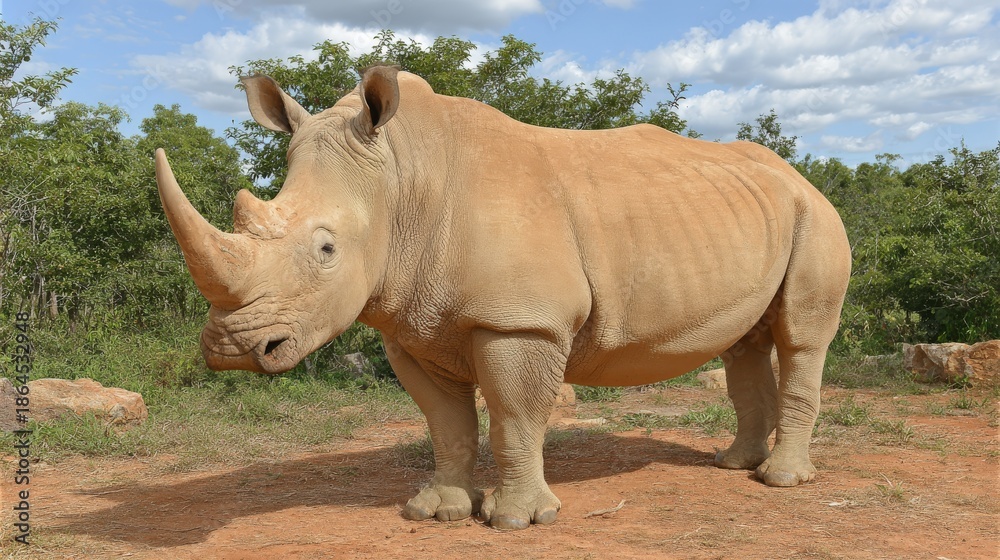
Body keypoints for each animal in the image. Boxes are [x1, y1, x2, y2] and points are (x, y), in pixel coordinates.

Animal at [155, 66, 851, 530]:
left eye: (326, 249)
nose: (230, 348)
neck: (402, 180)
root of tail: (801, 177)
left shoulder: (522, 321)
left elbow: (515, 416)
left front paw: (517, 521)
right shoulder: (412, 322)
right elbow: (446, 421)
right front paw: (436, 511)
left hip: (817, 218)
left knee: (802, 337)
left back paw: (780, 480)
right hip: (750, 216)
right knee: (745, 344)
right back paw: (734, 464)